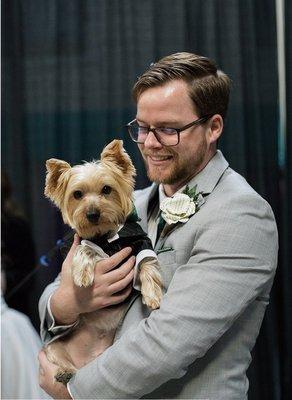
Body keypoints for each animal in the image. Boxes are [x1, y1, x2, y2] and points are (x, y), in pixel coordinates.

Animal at [44, 140, 162, 384]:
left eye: (106, 189)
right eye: (77, 194)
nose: (92, 213)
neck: (107, 237)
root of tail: (86, 360)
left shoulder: (140, 242)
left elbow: (147, 264)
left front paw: (153, 295)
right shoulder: (83, 243)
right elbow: (85, 249)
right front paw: (82, 274)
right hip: (53, 347)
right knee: (63, 361)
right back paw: (65, 372)